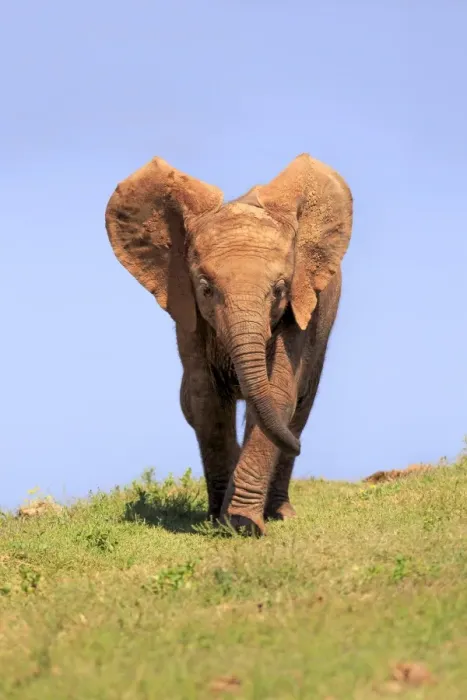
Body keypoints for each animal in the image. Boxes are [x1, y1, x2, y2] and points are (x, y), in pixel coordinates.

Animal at [105, 153, 353, 535]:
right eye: (206, 289)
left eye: (279, 289)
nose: (300, 448)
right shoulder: (187, 309)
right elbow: (206, 401)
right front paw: (220, 522)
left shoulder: (301, 308)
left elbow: (278, 394)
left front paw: (242, 525)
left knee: (299, 410)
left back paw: (280, 511)